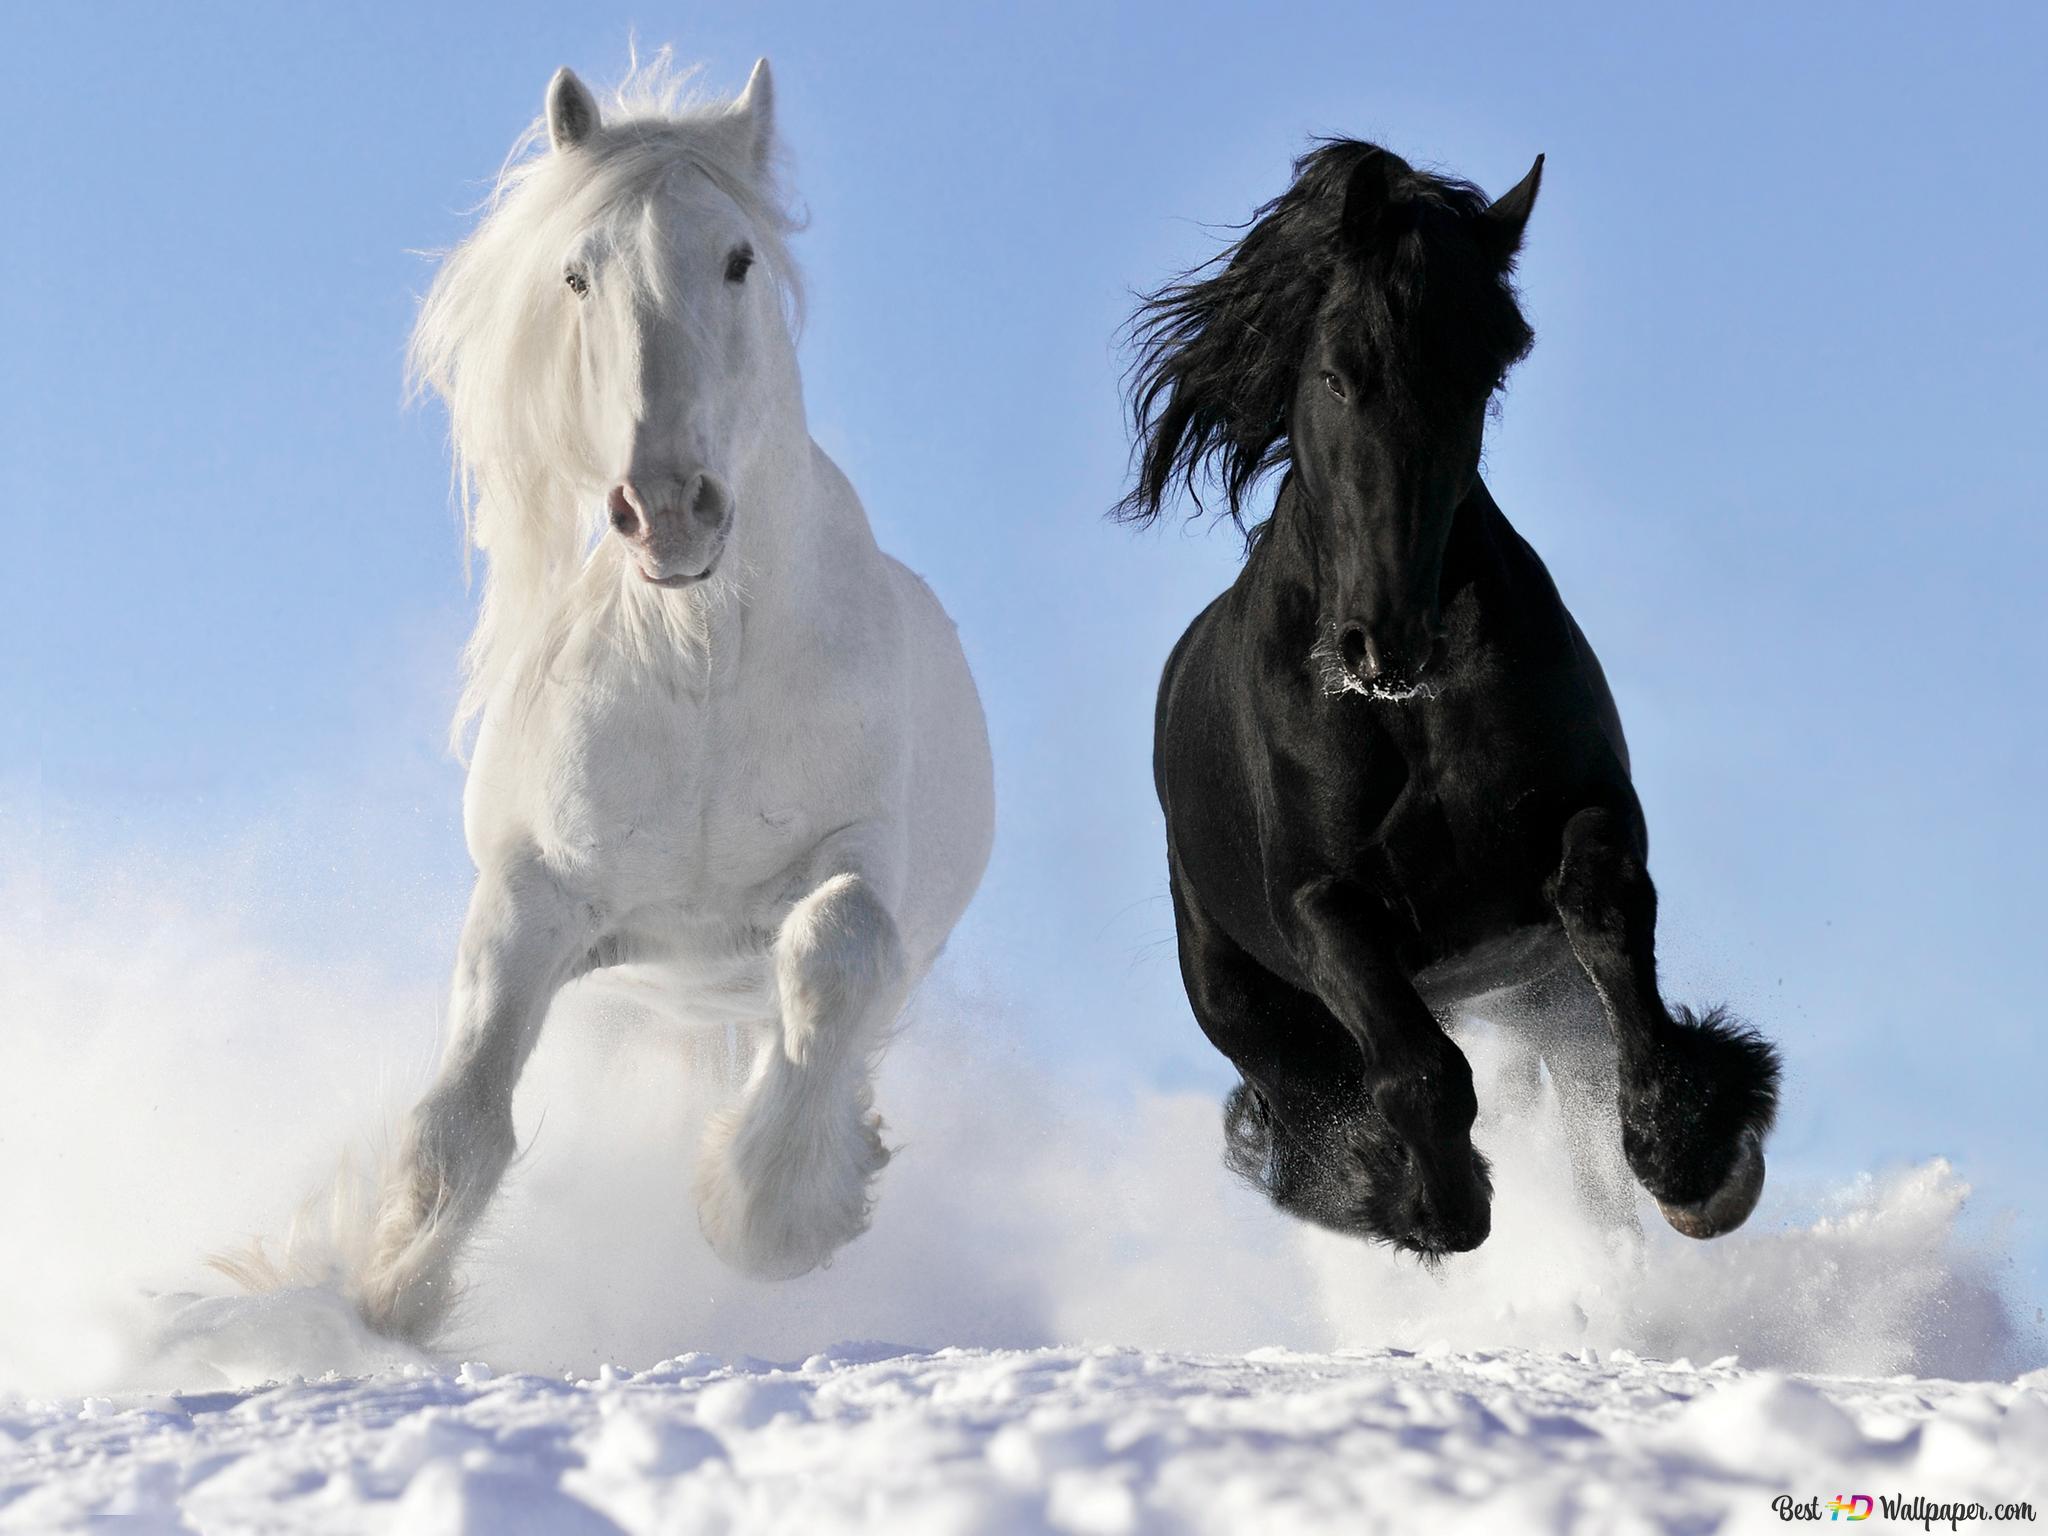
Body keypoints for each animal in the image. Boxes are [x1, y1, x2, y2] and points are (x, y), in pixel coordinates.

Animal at [354, 54, 994, 1342]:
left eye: (738, 257)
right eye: (576, 272)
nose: (665, 508)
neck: (698, 663)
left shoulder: (859, 856)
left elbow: (838, 948)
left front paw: (766, 1215)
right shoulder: (534, 896)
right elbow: (459, 1116)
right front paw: (386, 1294)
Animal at [1116, 141, 1781, 1259]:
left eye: (1481, 374)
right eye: (1336, 372)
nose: (1384, 640)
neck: (1404, 714)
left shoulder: (1585, 817)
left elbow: (1605, 917)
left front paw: (1694, 1155)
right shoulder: (1321, 906)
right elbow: (1417, 1072)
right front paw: (1422, 1199)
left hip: (1538, 993)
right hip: (1242, 998)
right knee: (1309, 1101)